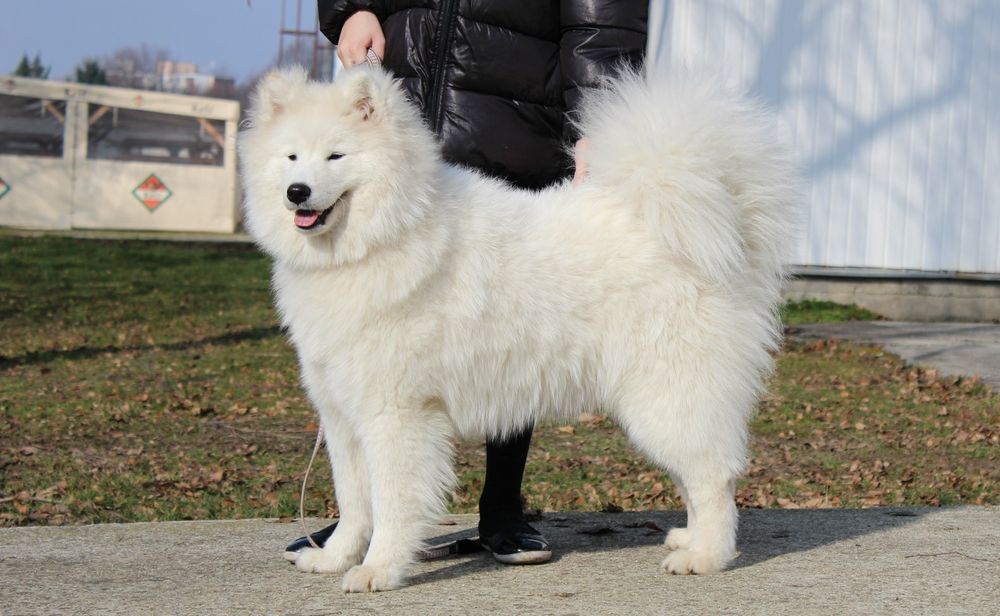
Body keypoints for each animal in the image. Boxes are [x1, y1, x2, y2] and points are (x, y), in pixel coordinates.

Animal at [236, 66, 796, 592]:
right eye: (291, 157)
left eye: (336, 156)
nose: (297, 192)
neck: (385, 236)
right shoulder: (342, 416)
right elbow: (354, 502)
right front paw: (334, 558)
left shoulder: (396, 415)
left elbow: (391, 503)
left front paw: (378, 569)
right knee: (697, 477)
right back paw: (689, 538)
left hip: (667, 397)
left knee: (713, 479)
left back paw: (706, 556)